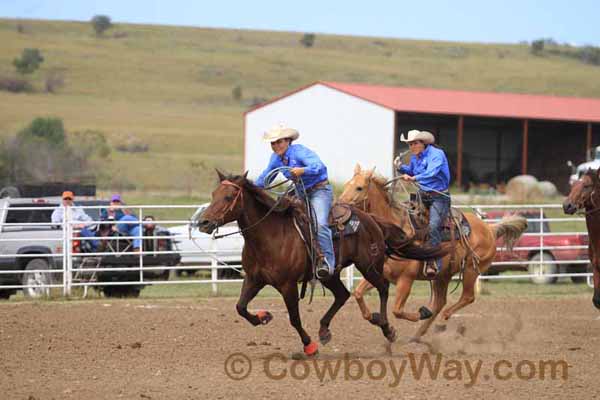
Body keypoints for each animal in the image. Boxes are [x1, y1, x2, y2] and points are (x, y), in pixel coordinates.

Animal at [195, 170, 442, 354]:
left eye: (228, 197)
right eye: (214, 193)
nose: (204, 222)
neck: (270, 235)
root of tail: (371, 219)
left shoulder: (287, 285)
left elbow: (294, 318)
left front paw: (309, 346)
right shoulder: (254, 279)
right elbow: (241, 307)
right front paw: (263, 317)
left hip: (369, 266)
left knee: (382, 288)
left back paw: (386, 328)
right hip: (330, 273)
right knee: (343, 294)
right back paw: (324, 330)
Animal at [340, 164, 528, 340]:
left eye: (359, 188)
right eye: (347, 184)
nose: (339, 206)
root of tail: (490, 229)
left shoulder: (406, 279)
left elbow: (397, 310)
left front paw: (418, 315)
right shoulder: (379, 273)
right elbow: (358, 293)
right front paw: (378, 320)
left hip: (471, 270)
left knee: (466, 297)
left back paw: (441, 321)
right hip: (442, 275)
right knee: (440, 302)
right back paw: (418, 335)